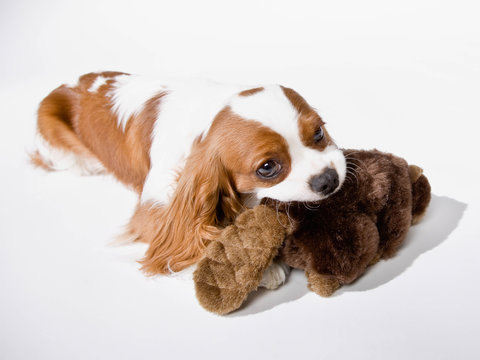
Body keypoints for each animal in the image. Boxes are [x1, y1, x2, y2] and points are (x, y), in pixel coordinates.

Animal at [31, 71, 346, 288]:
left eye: (319, 132)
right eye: (267, 167)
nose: (328, 179)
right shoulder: (152, 212)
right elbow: (196, 237)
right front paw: (261, 266)